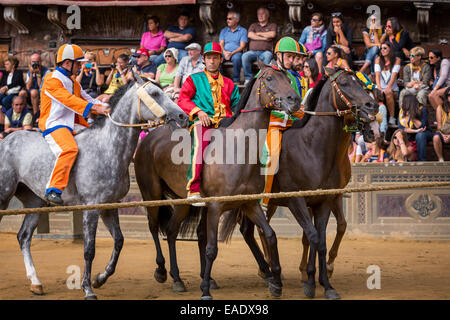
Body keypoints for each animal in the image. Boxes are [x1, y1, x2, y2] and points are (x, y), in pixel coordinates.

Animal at [0, 75, 188, 300]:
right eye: (154, 94)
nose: (182, 116)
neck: (107, 148)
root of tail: (6, 140)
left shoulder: (109, 206)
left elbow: (119, 241)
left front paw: (100, 278)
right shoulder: (91, 208)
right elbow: (89, 249)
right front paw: (88, 288)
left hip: (35, 202)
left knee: (24, 237)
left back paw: (36, 282)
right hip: (3, 196)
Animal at [134, 61, 302, 298]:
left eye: (288, 79)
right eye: (269, 78)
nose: (294, 100)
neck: (239, 149)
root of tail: (149, 138)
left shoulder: (250, 204)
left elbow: (269, 234)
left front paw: (276, 282)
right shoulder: (215, 207)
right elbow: (211, 248)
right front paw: (205, 289)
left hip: (183, 201)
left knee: (172, 230)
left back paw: (178, 278)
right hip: (152, 194)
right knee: (154, 226)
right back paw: (162, 271)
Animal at [221, 67, 380, 300]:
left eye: (361, 83)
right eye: (344, 83)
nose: (372, 105)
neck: (312, 147)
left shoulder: (325, 200)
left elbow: (321, 239)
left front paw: (325, 283)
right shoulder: (297, 200)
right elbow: (312, 235)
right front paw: (310, 281)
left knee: (251, 231)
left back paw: (269, 272)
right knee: (251, 231)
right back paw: (269, 272)